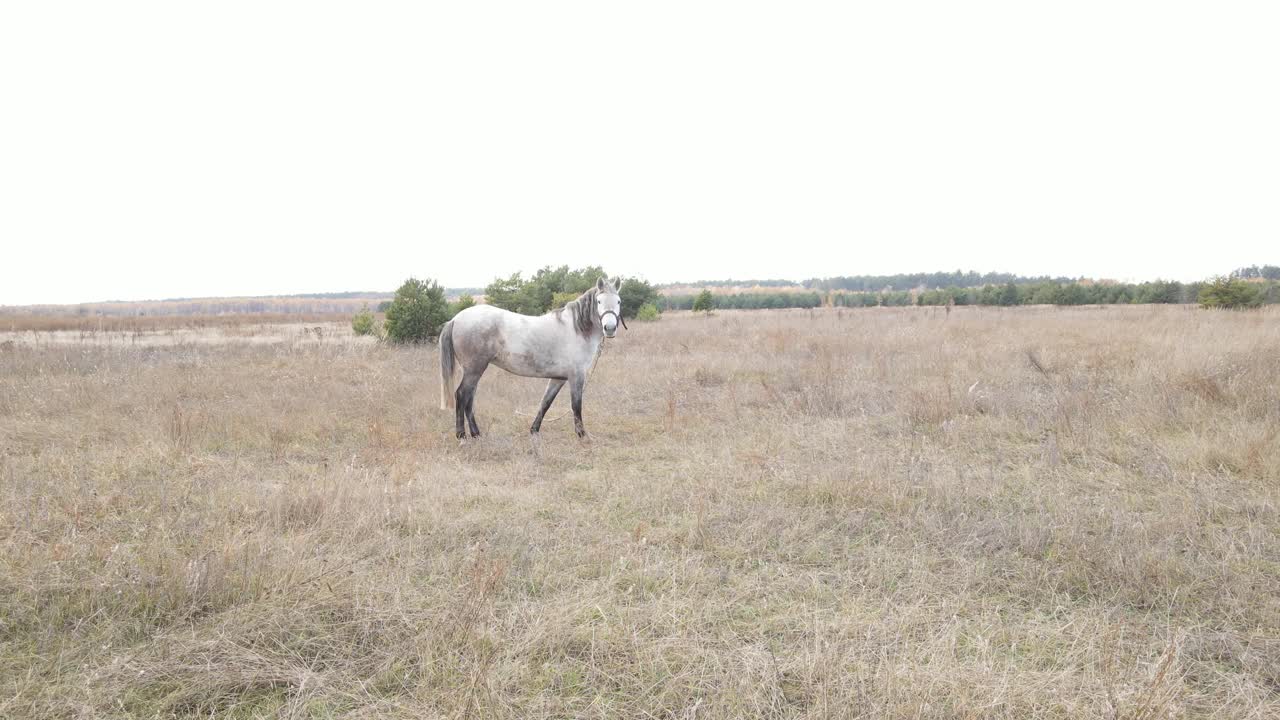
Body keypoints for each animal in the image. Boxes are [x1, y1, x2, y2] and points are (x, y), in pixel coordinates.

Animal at [437, 275, 627, 438]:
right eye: (599, 301)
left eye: (618, 301)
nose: (610, 328)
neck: (576, 329)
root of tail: (456, 319)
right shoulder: (577, 376)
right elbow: (576, 405)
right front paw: (582, 435)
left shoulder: (558, 378)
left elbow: (545, 403)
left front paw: (534, 430)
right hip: (474, 369)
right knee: (462, 395)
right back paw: (461, 436)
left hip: (474, 371)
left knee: (469, 399)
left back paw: (476, 434)